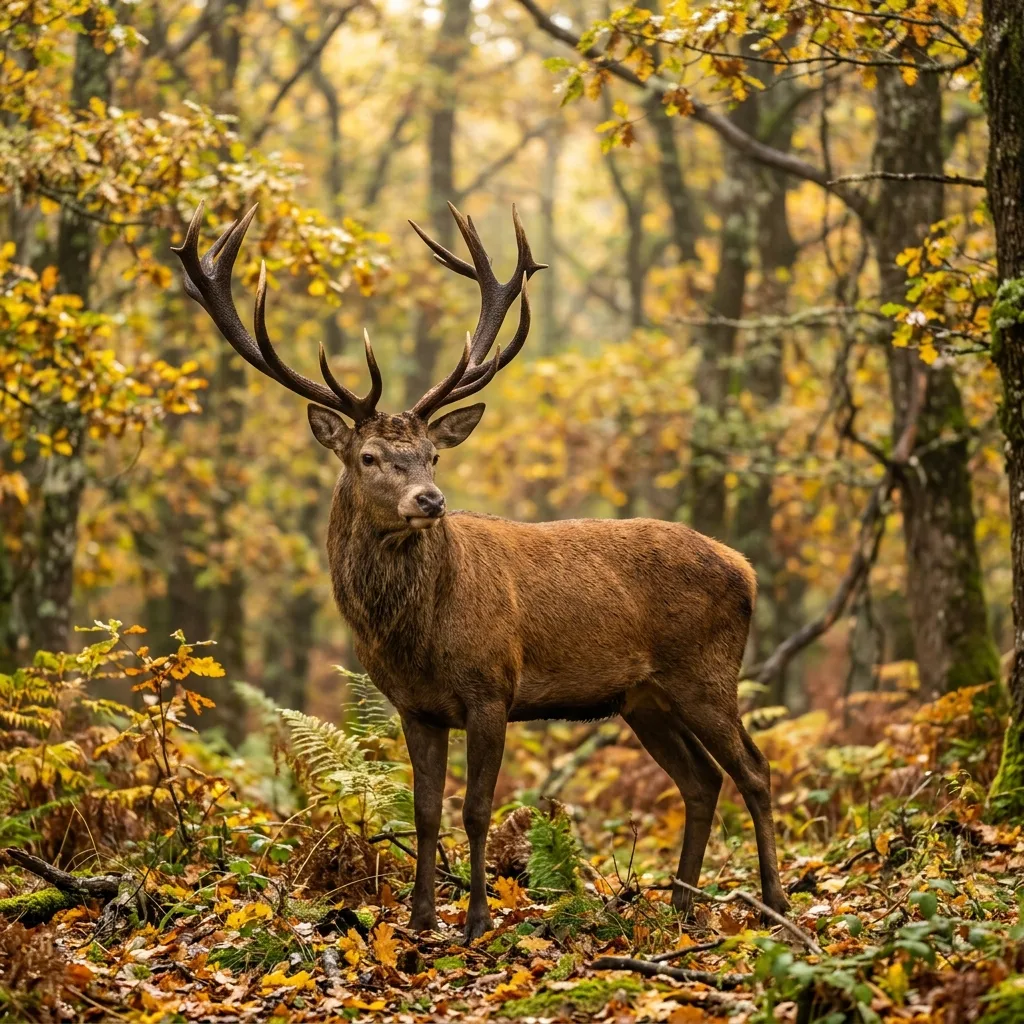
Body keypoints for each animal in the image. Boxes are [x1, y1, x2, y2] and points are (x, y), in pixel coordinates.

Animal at [172, 200, 789, 942]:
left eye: (433, 455)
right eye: (370, 457)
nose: (429, 501)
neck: (418, 635)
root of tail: (746, 569)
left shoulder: (493, 688)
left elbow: (475, 810)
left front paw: (475, 922)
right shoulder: (414, 706)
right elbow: (425, 810)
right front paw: (419, 919)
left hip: (706, 673)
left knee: (754, 770)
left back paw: (775, 903)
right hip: (645, 698)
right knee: (701, 780)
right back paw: (679, 907)